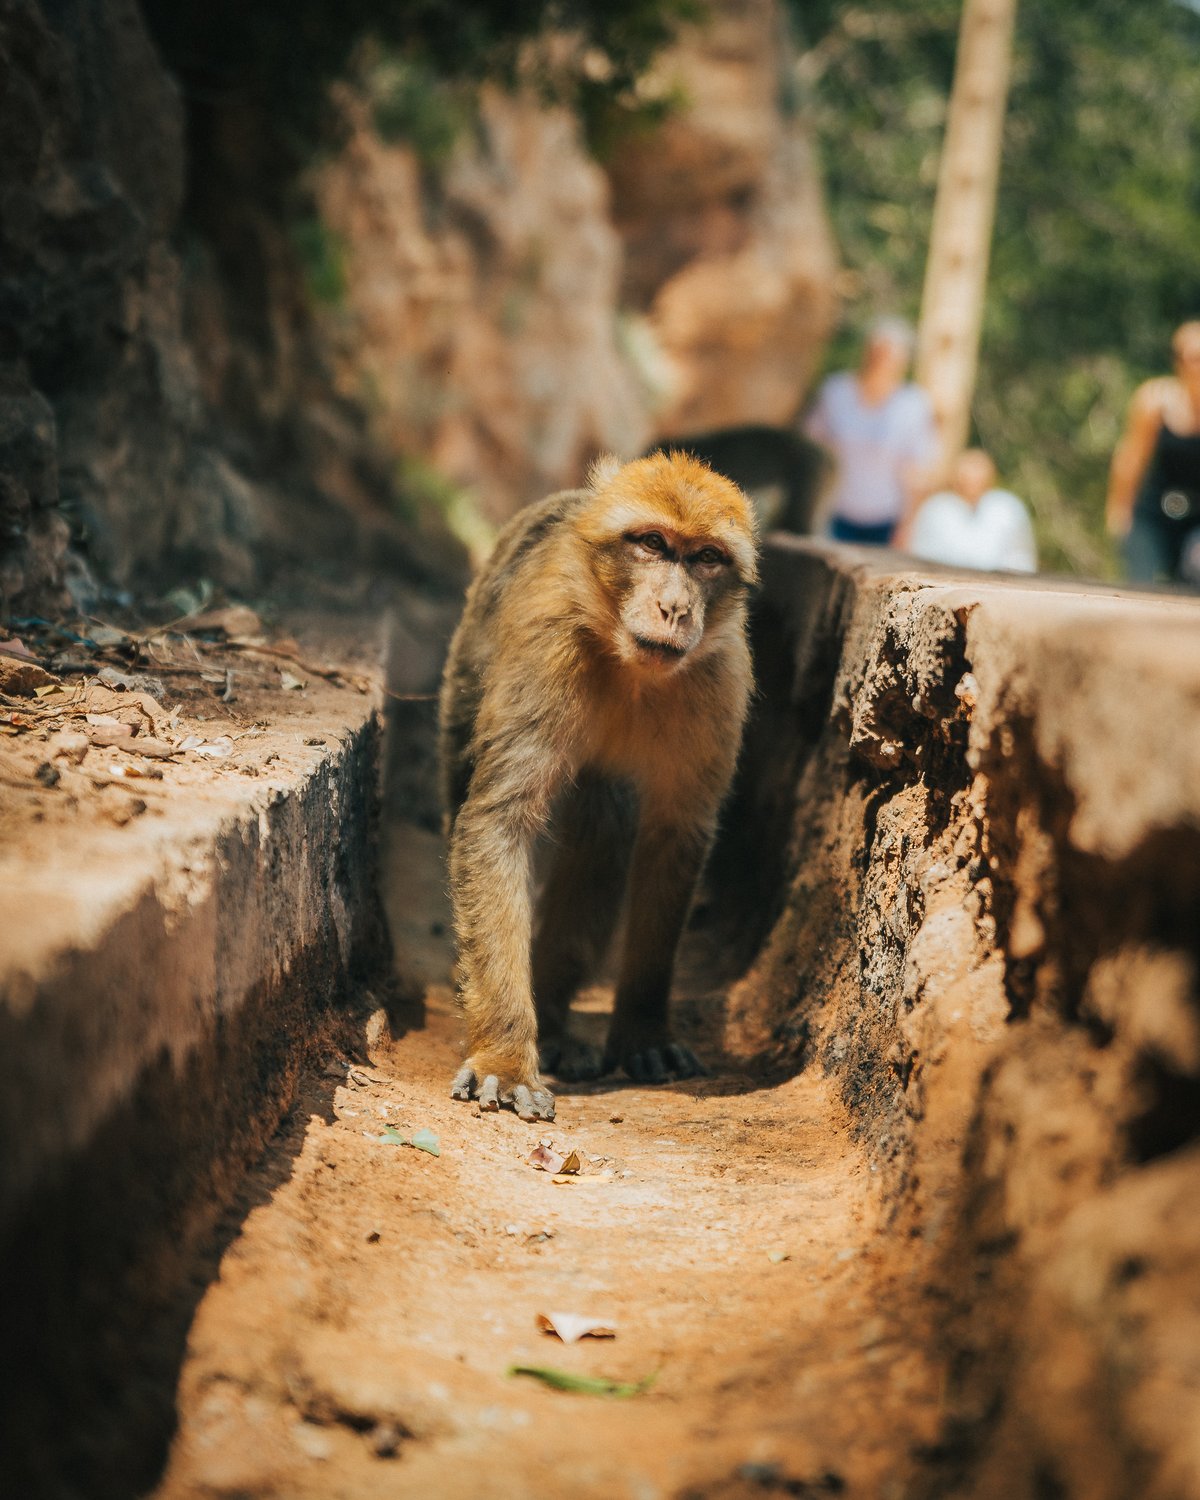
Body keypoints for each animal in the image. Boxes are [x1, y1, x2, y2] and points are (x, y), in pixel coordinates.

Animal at [441, 450, 759, 1122]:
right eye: (653, 544)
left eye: (706, 558)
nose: (675, 608)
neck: (630, 666)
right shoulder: (548, 644)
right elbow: (499, 823)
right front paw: (505, 1061)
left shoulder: (717, 682)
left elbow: (674, 836)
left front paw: (642, 1028)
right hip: (469, 658)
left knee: (605, 824)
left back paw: (558, 1020)